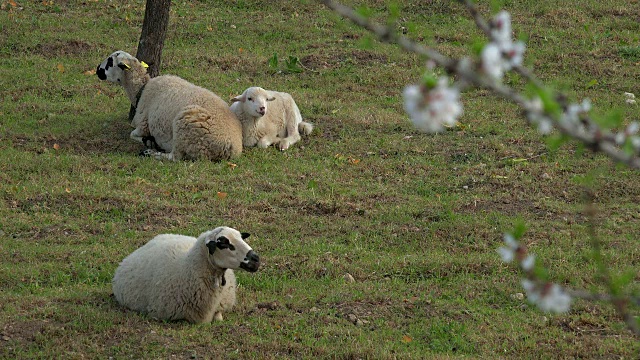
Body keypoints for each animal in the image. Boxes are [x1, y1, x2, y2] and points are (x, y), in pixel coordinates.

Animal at [96, 51, 244, 162]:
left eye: (110, 62)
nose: (97, 70)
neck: (142, 89)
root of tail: (230, 148)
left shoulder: (143, 125)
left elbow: (132, 134)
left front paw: (148, 141)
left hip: (187, 130)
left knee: (175, 157)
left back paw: (150, 152)